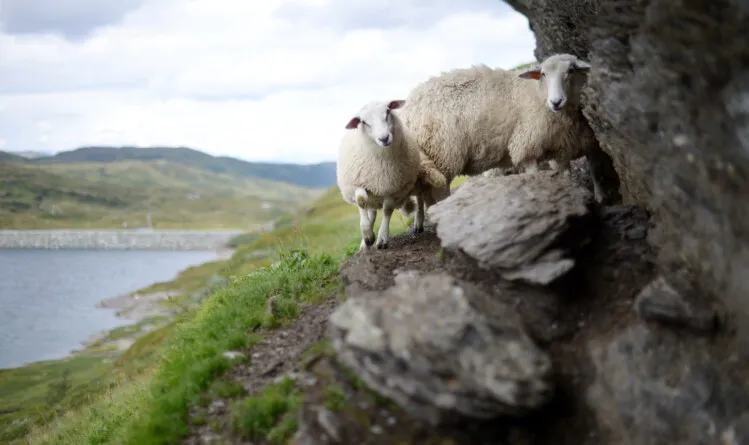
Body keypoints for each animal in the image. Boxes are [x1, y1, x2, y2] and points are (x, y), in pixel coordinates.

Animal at [334, 99, 426, 250]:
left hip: (414, 179)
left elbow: (387, 209)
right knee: (371, 210)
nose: (384, 138)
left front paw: (382, 238)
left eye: (388, 112)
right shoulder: (358, 182)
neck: (381, 162)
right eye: (363, 122)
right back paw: (365, 243)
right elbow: (361, 200)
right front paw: (367, 235)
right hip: (373, 192)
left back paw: (419, 222)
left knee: (419, 197)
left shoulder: (392, 188)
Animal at [400, 50, 600, 198]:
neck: (539, 93)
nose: (556, 102)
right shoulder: (527, 146)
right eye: (543, 74)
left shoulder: (562, 148)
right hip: (442, 155)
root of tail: (408, 107)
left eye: (571, 71)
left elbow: (578, 176)